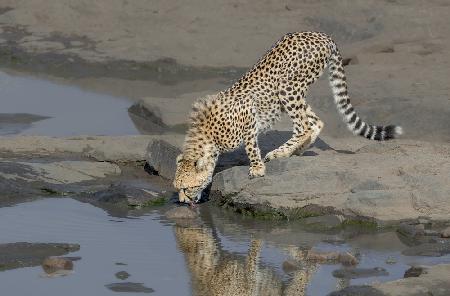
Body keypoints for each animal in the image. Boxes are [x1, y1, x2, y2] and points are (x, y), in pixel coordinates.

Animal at [174, 32, 402, 204]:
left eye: (187, 187)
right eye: (177, 188)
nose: (183, 200)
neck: (209, 136)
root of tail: (321, 34)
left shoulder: (248, 115)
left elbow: (251, 146)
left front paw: (257, 169)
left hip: (286, 87)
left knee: (304, 126)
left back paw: (280, 152)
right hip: (294, 92)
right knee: (315, 122)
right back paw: (294, 151)